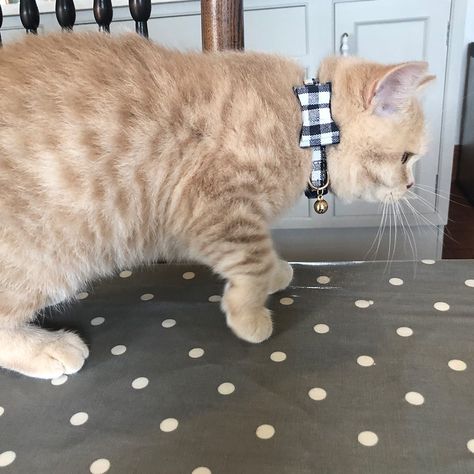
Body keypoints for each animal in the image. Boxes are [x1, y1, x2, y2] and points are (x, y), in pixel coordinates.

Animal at [0, 31, 434, 380]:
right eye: (406, 157)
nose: (411, 185)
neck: (303, 119)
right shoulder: (209, 204)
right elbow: (252, 257)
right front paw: (248, 313)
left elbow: (263, 254)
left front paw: (275, 273)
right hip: (45, 257)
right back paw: (48, 348)